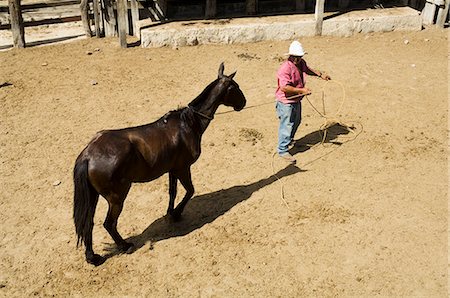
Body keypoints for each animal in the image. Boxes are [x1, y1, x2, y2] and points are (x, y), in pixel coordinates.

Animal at [73, 63, 246, 266]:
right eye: (235, 87)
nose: (243, 102)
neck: (188, 124)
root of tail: (88, 154)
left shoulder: (172, 169)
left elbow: (173, 192)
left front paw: (170, 212)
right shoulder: (183, 168)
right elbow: (190, 191)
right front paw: (176, 213)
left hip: (93, 196)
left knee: (88, 223)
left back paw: (92, 257)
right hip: (116, 197)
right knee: (109, 223)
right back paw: (124, 245)